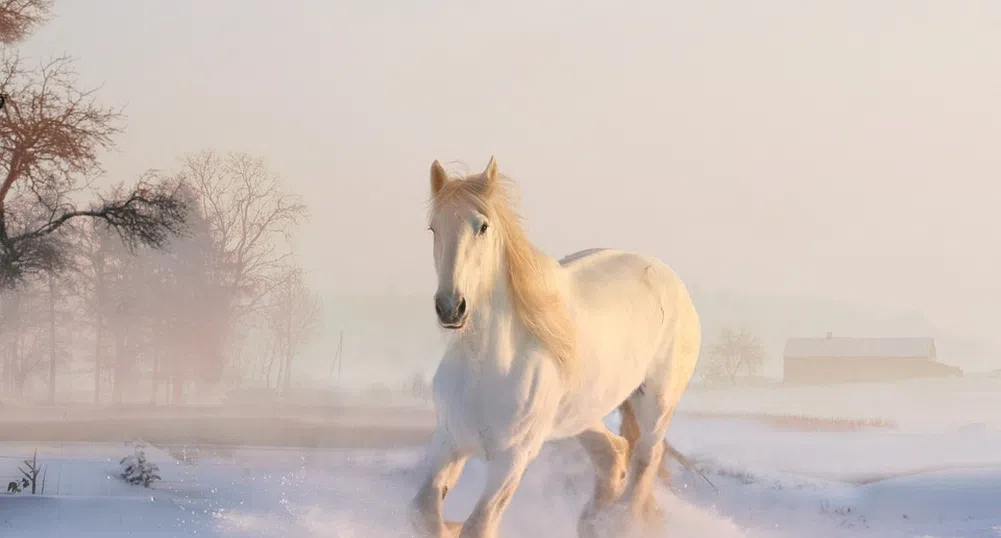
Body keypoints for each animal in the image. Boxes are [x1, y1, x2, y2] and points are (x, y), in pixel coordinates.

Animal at [410, 156, 700, 536]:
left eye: (482, 226)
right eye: (433, 228)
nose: (450, 307)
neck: (486, 368)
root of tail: (670, 279)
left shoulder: (511, 459)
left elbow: (478, 525)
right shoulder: (449, 441)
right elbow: (425, 513)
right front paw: (450, 524)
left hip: (655, 405)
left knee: (643, 464)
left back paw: (616, 519)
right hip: (582, 415)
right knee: (613, 455)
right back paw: (593, 520)